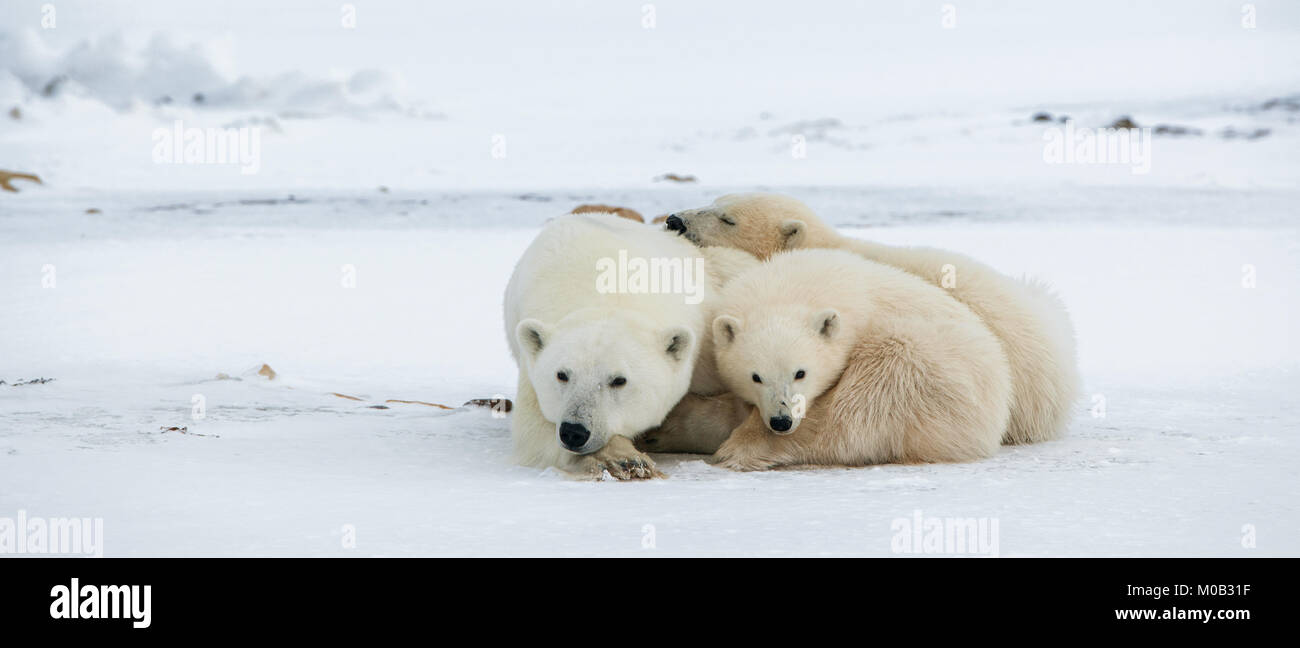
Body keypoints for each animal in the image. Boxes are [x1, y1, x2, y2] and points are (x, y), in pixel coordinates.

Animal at [501, 209, 759, 478]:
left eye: (619, 380)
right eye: (561, 375)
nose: (574, 431)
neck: (608, 294)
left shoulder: (708, 346)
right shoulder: (532, 371)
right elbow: (534, 433)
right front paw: (623, 458)